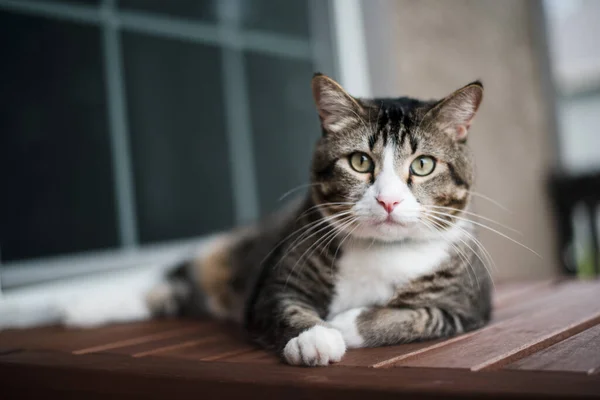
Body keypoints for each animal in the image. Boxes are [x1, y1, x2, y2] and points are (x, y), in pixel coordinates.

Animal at [145, 73, 492, 368]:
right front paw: (314, 338)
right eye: (360, 161)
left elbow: (415, 317)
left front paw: (341, 323)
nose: (388, 200)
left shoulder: (468, 308)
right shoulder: (276, 280)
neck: (381, 249)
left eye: (423, 165)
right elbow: (284, 305)